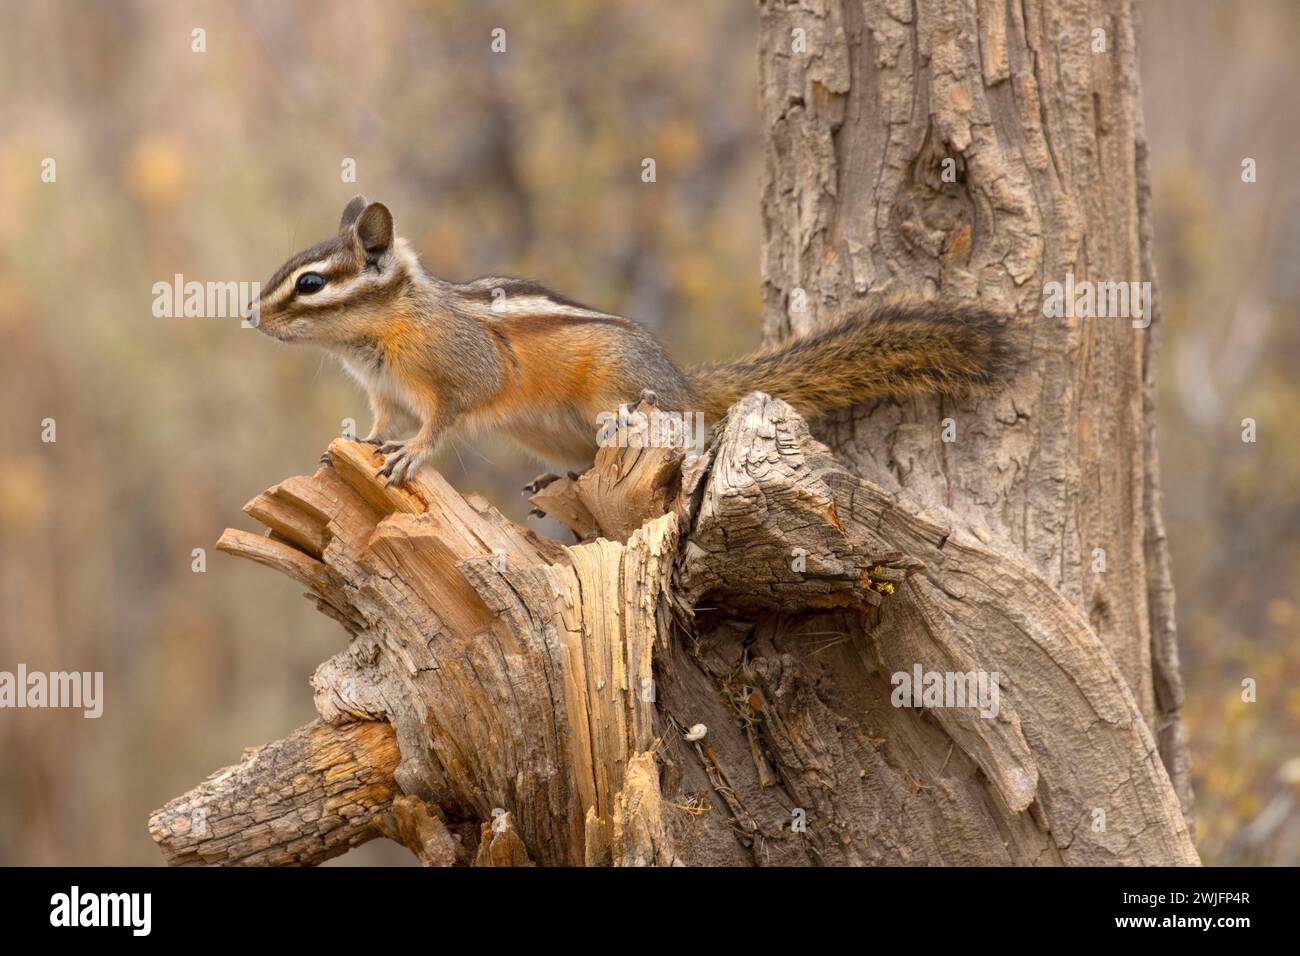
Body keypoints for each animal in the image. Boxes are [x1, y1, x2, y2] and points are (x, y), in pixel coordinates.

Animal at [252, 196, 1014, 486]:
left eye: (311, 284)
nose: (254, 320)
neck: (381, 331)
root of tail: (682, 380)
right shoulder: (384, 391)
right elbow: (381, 421)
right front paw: (367, 442)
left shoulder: (462, 375)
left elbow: (447, 417)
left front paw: (412, 454)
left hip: (619, 392)